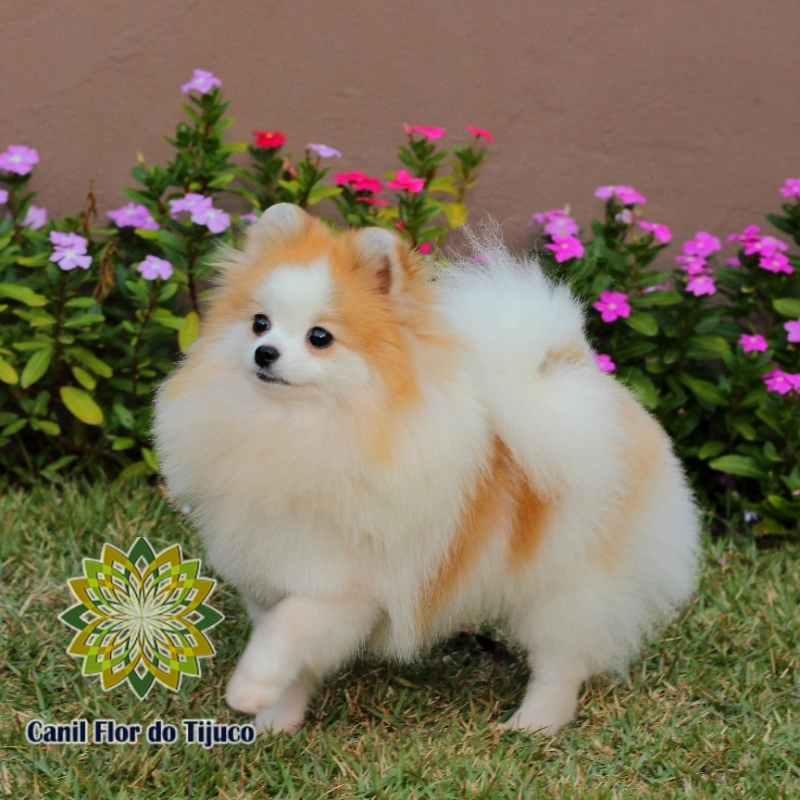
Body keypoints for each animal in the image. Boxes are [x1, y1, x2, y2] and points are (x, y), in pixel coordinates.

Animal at [153, 203, 696, 736]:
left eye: (319, 337)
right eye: (259, 323)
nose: (265, 353)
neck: (300, 429)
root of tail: (582, 375)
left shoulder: (346, 584)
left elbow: (288, 629)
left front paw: (249, 688)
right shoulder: (270, 573)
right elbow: (289, 649)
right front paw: (275, 720)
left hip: (566, 581)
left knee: (561, 659)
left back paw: (534, 723)